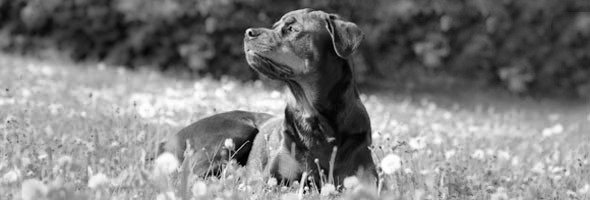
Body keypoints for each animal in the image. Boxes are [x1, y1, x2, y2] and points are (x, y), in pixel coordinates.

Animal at [160, 7, 376, 186]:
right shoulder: (272, 179)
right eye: (275, 26)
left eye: (292, 28)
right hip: (235, 131)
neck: (313, 118)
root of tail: (168, 140)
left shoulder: (364, 179)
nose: (248, 32)